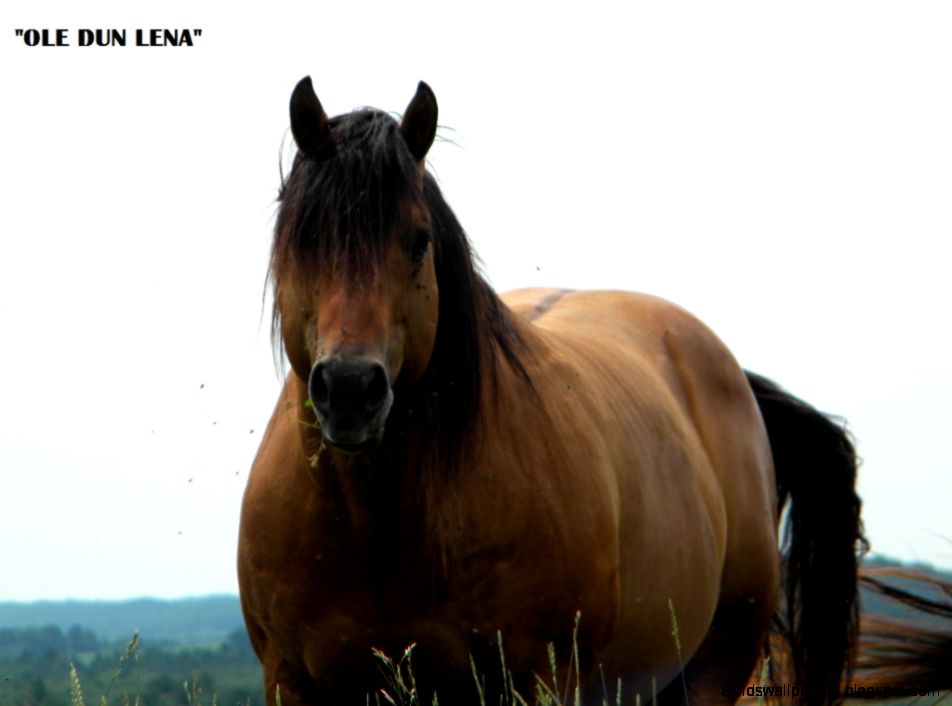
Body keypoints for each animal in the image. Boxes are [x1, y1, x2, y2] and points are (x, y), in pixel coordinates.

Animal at [237, 77, 866, 706]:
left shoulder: (541, 677)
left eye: (418, 241)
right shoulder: (289, 681)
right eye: (301, 239)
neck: (383, 528)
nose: (349, 388)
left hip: (712, 670)